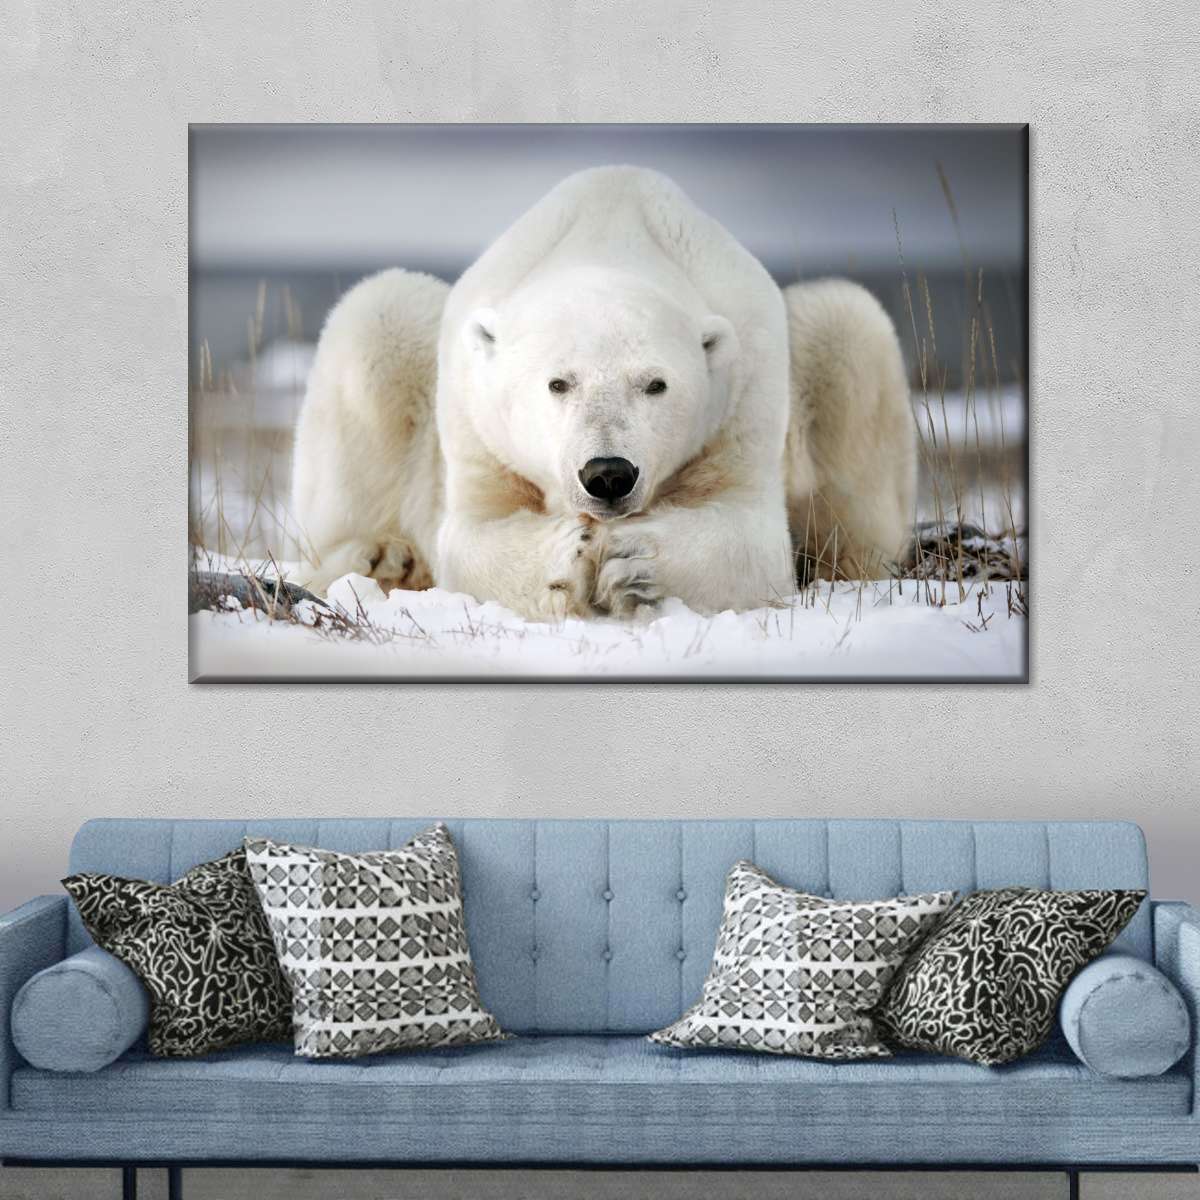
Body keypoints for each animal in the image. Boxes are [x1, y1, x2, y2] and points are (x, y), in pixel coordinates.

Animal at [290, 166, 915, 617]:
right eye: (558, 382)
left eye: (656, 384)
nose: (608, 474)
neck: (609, 234)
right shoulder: (476, 420)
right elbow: (472, 534)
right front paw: (569, 556)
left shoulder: (745, 390)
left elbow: (751, 535)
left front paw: (632, 561)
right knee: (378, 318)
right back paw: (381, 558)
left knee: (847, 328)